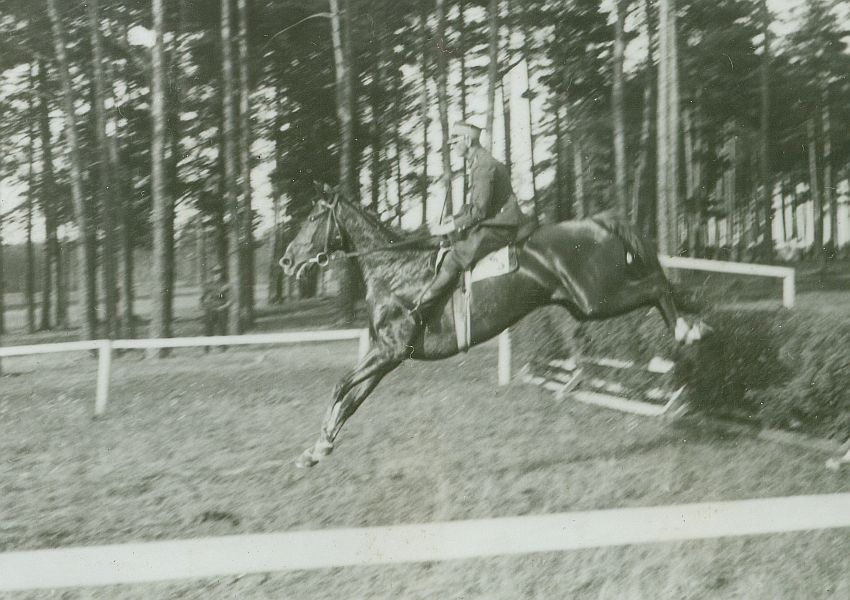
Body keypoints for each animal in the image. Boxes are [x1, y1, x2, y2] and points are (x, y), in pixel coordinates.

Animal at [281, 188, 705, 468]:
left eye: (312, 219)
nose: (286, 259)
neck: (394, 271)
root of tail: (593, 222)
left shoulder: (390, 351)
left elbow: (340, 386)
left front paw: (319, 445)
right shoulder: (384, 356)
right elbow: (352, 398)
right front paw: (319, 448)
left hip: (596, 297)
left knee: (657, 287)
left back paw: (686, 330)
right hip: (588, 302)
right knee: (665, 287)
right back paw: (697, 319)